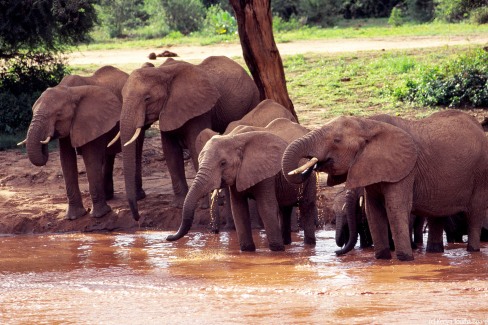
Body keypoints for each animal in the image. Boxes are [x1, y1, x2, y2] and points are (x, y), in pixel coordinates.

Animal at [118, 55, 262, 220]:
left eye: (147, 98)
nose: (137, 217)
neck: (162, 72)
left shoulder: (200, 109)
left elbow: (195, 147)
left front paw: (205, 205)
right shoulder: (168, 111)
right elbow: (171, 152)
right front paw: (179, 205)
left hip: (253, 99)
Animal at [167, 117, 320, 251]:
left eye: (223, 163)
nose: (168, 237)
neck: (234, 138)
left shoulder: (266, 172)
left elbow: (266, 208)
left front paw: (277, 250)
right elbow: (239, 209)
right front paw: (247, 250)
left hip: (309, 179)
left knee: (306, 206)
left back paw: (308, 245)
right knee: (285, 209)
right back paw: (287, 243)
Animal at [282, 109, 488, 260]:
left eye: (337, 140)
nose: (336, 252)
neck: (368, 124)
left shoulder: (405, 170)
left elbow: (395, 208)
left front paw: (405, 259)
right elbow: (373, 211)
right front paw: (382, 259)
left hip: (481, 174)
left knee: (475, 213)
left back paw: (472, 251)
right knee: (437, 214)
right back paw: (434, 252)